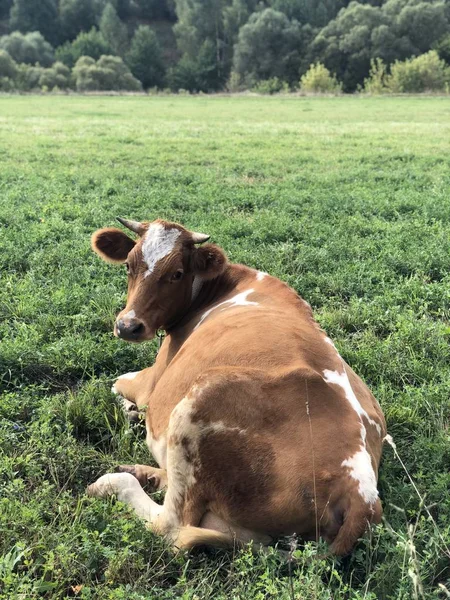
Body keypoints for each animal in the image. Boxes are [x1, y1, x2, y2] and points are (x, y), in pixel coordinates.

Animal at [88, 218, 386, 556]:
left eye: (177, 273)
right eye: (129, 265)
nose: (127, 326)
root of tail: (361, 493)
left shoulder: (150, 382)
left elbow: (115, 383)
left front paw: (129, 410)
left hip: (202, 397)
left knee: (172, 525)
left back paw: (114, 483)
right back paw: (144, 473)